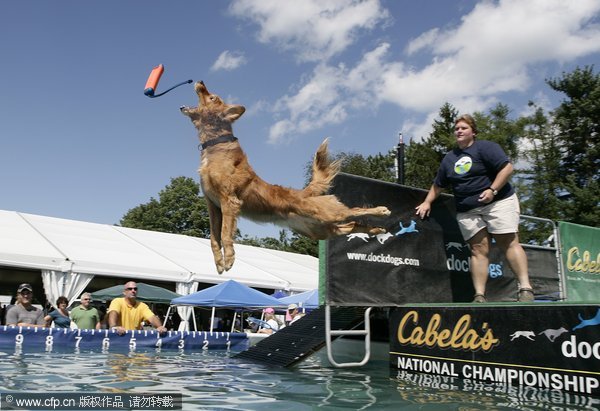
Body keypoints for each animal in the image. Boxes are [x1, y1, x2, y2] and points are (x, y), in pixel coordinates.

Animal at [180, 81, 392, 274]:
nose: (200, 81)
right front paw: (219, 263)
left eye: (212, 97)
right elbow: (214, 239)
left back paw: (382, 211)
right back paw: (377, 230)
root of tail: (303, 193)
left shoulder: (229, 201)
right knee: (351, 225)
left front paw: (230, 259)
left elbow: (225, 235)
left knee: (354, 211)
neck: (215, 147)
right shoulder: (213, 205)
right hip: (317, 229)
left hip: (327, 213)